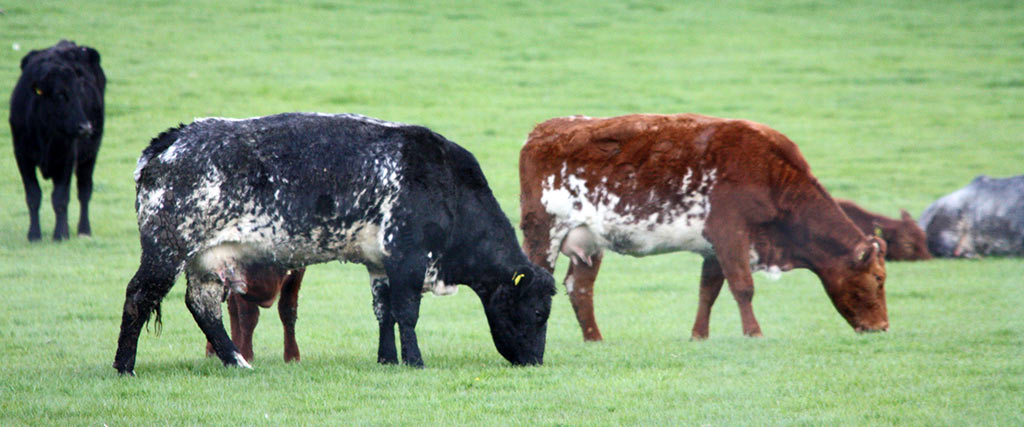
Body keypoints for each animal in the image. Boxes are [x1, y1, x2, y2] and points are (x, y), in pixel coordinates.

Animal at [9, 41, 105, 241]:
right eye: (60, 94)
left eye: (80, 93)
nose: (85, 127)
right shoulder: (22, 157)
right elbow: (33, 196)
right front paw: (34, 235)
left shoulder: (67, 158)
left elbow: (60, 198)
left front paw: (60, 235)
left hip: (90, 155)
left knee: (84, 191)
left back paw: (84, 230)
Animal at [115, 112, 557, 372]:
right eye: (538, 313)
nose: (535, 360)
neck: (447, 185)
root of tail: (170, 141)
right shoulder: (409, 257)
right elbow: (407, 313)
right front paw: (414, 361)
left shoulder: (381, 263)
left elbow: (385, 313)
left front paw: (387, 358)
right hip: (167, 248)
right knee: (138, 295)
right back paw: (125, 365)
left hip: (207, 258)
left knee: (203, 307)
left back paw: (237, 360)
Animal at [520, 113, 888, 339]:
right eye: (878, 279)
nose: (882, 326)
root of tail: (542, 131)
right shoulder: (730, 232)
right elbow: (743, 286)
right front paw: (754, 333)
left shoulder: (714, 247)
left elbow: (708, 290)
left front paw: (699, 335)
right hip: (542, 231)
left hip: (590, 241)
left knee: (580, 287)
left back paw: (595, 339)